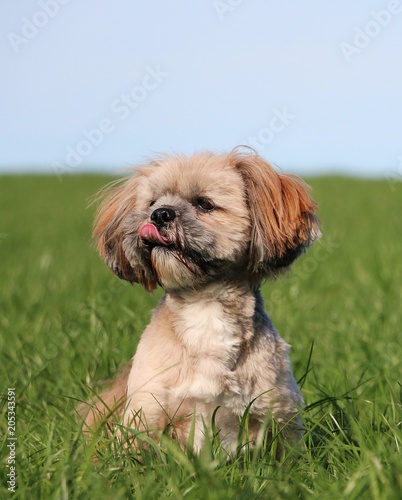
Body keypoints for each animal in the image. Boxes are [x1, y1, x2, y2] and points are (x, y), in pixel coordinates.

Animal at [81, 147, 320, 454]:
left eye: (204, 204)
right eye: (152, 202)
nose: (160, 214)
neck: (204, 305)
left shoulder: (279, 418)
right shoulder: (145, 415)